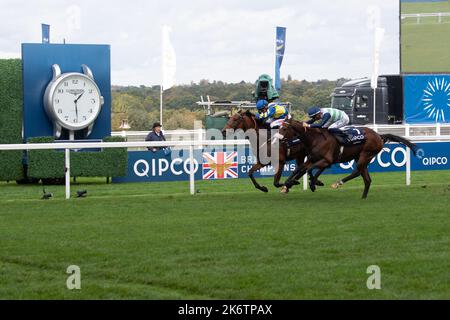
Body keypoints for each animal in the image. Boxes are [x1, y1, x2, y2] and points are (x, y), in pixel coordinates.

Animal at [278, 119, 418, 199]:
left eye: (284, 128)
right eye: (279, 128)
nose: (278, 138)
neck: (315, 138)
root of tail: (379, 135)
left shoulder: (326, 161)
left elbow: (309, 170)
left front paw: (314, 183)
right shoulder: (312, 159)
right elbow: (300, 170)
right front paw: (288, 184)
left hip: (366, 154)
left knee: (357, 171)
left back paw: (338, 183)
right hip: (360, 157)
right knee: (367, 178)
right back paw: (363, 197)